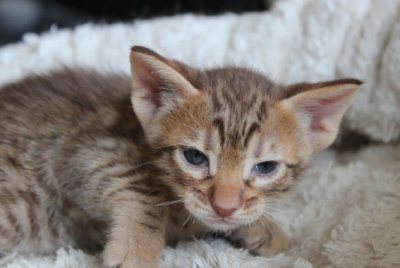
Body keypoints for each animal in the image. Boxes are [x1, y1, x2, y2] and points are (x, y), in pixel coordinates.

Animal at [0, 46, 360, 268]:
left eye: (266, 167)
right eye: (194, 158)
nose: (224, 207)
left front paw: (262, 226)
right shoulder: (78, 149)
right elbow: (141, 189)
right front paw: (137, 249)